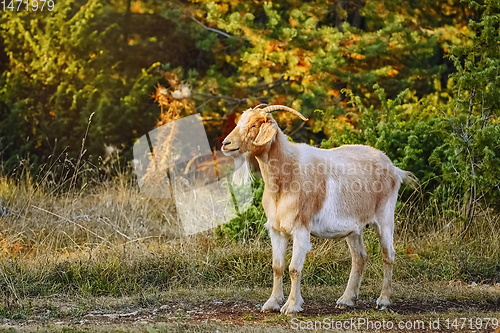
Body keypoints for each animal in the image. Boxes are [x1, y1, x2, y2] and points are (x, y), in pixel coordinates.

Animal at [221, 104, 416, 314]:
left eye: (255, 124)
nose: (226, 143)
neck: (287, 175)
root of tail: (395, 169)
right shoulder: (277, 229)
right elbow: (277, 266)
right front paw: (272, 303)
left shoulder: (301, 228)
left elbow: (294, 268)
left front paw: (291, 306)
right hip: (354, 228)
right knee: (359, 257)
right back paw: (346, 299)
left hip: (385, 217)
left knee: (388, 255)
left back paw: (383, 300)